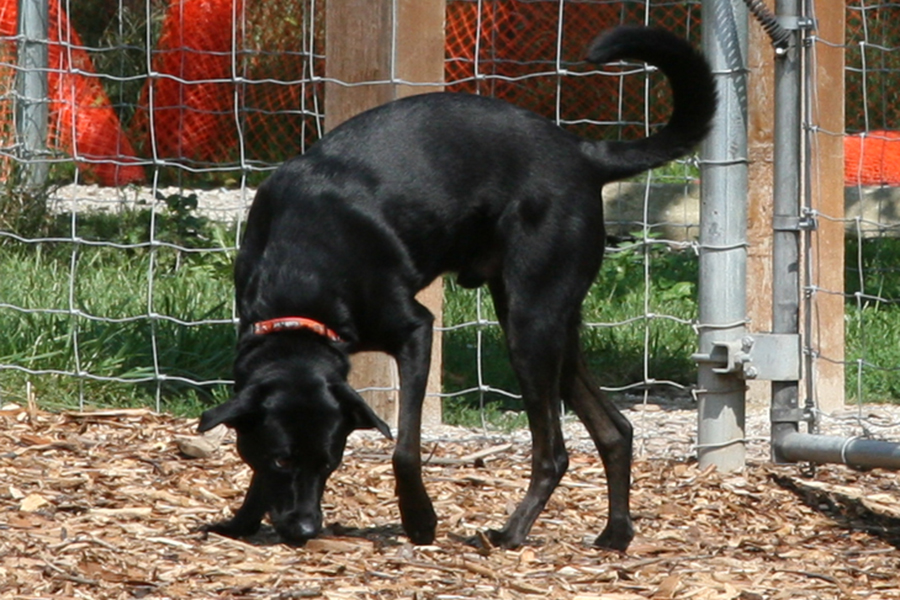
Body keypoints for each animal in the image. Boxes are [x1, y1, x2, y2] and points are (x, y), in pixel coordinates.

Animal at [199, 25, 716, 552]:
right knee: (615, 430)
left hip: (530, 325)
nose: (304, 529)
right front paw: (242, 520)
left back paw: (511, 532)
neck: (301, 277)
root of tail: (583, 153)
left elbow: (405, 446)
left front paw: (420, 521)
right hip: (549, 324)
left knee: (553, 451)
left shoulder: (416, 330)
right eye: (282, 459)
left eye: (330, 460)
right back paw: (614, 534)